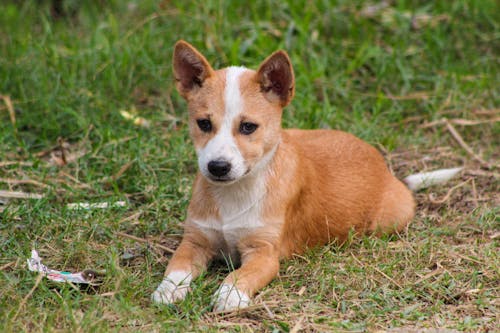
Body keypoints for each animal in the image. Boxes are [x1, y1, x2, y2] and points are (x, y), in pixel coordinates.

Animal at [152, 40, 418, 310]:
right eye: (204, 123)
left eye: (248, 127)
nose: (217, 167)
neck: (236, 192)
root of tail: (385, 168)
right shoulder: (194, 241)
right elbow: (176, 267)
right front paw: (168, 290)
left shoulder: (264, 253)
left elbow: (240, 274)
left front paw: (230, 294)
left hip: (389, 220)